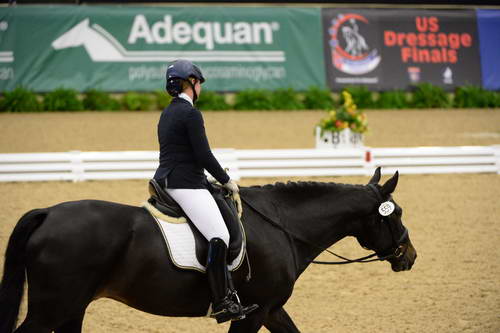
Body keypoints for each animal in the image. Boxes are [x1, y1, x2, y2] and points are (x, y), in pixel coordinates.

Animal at [0, 169, 414, 332]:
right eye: (397, 213)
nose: (409, 257)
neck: (283, 225)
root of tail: (47, 213)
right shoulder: (253, 312)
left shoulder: (272, 309)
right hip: (53, 309)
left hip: (73, 308)